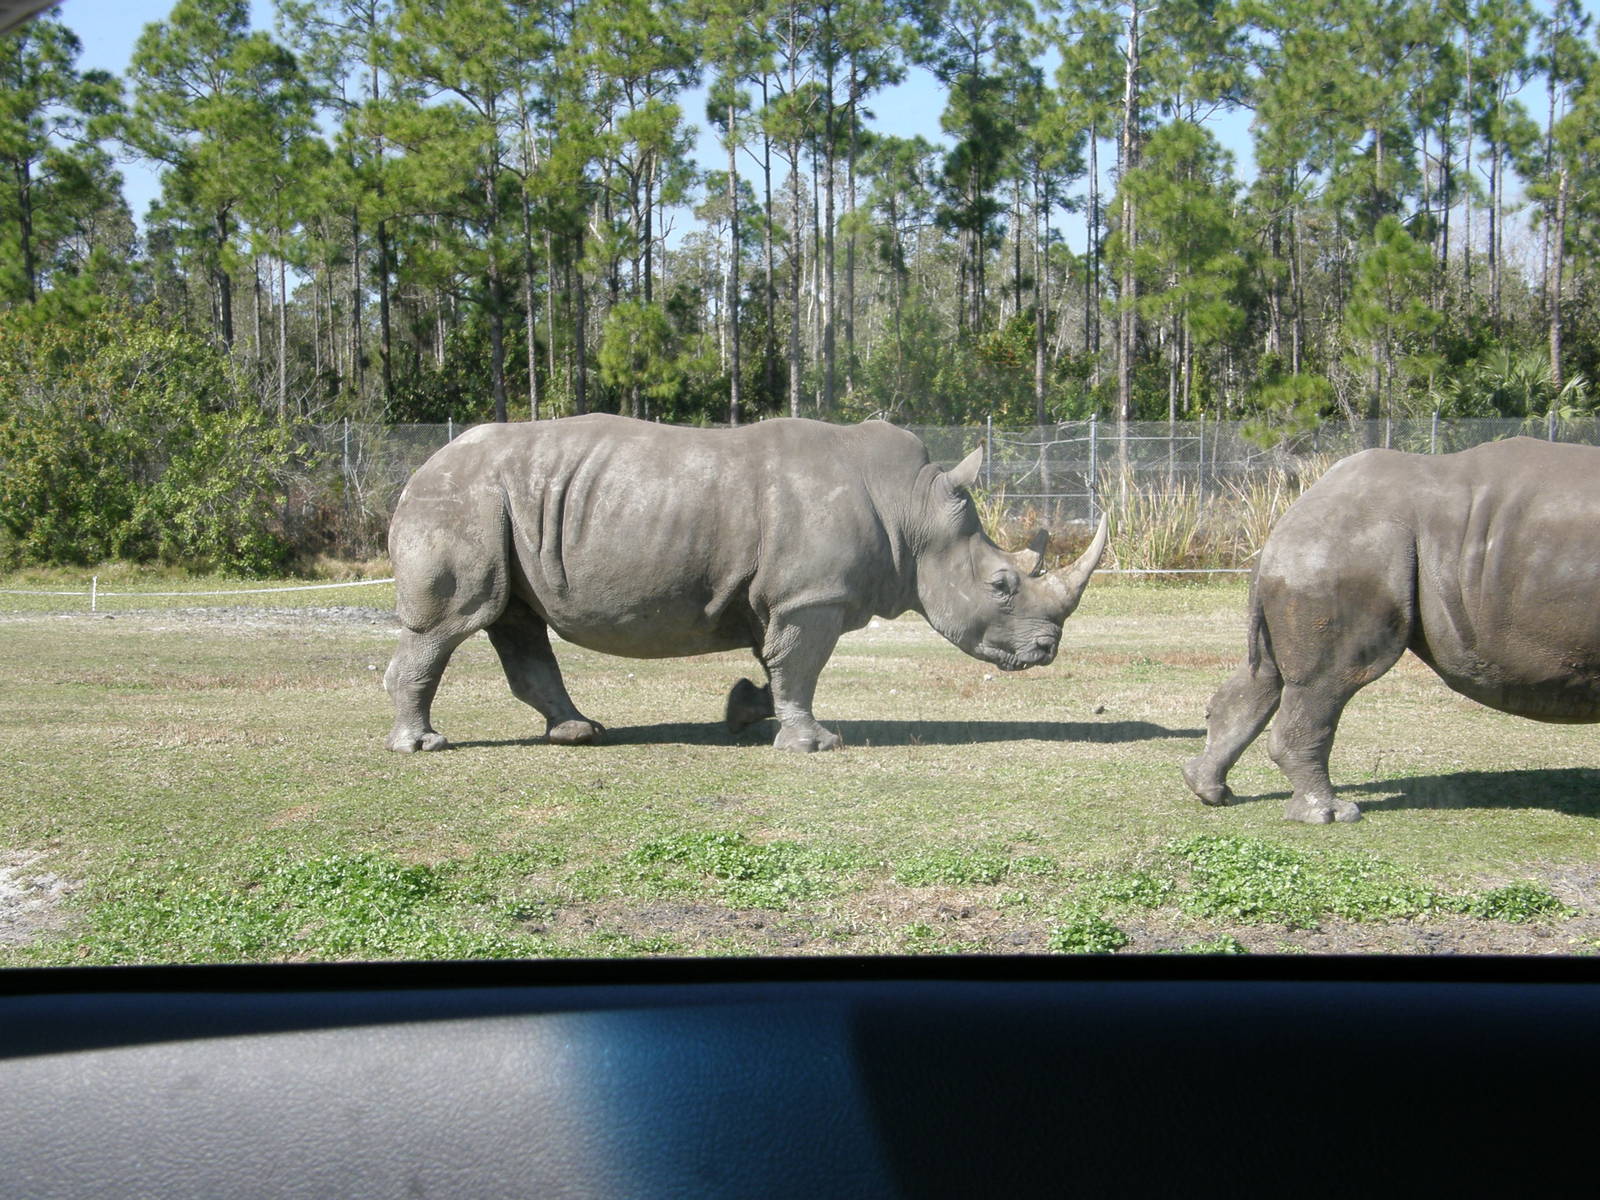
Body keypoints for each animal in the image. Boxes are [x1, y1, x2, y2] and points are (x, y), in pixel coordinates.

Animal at [384, 414, 1108, 753]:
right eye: (1002, 585)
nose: (1047, 651)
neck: (914, 511)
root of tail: (419, 469)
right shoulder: (813, 596)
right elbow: (802, 666)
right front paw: (816, 744)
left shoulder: (786, 595)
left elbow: (776, 661)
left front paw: (741, 711)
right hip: (464, 499)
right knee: (456, 621)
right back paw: (424, 745)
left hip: (500, 504)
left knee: (514, 620)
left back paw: (579, 732)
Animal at [1183, 437, 1600, 823]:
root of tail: (1294, 510)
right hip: (1354, 547)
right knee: (1327, 680)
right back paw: (1332, 815)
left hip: (1324, 550)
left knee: (1268, 672)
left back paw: (1210, 791)